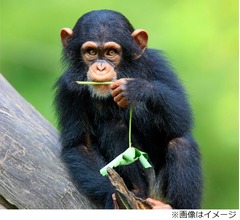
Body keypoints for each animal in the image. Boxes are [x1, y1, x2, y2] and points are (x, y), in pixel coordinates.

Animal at [54, 9, 202, 209]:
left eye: (111, 52)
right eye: (91, 52)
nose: (100, 67)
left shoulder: (157, 65)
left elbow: (182, 118)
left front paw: (137, 88)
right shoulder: (68, 89)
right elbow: (80, 144)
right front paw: (110, 195)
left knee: (181, 143)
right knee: (113, 126)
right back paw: (135, 191)